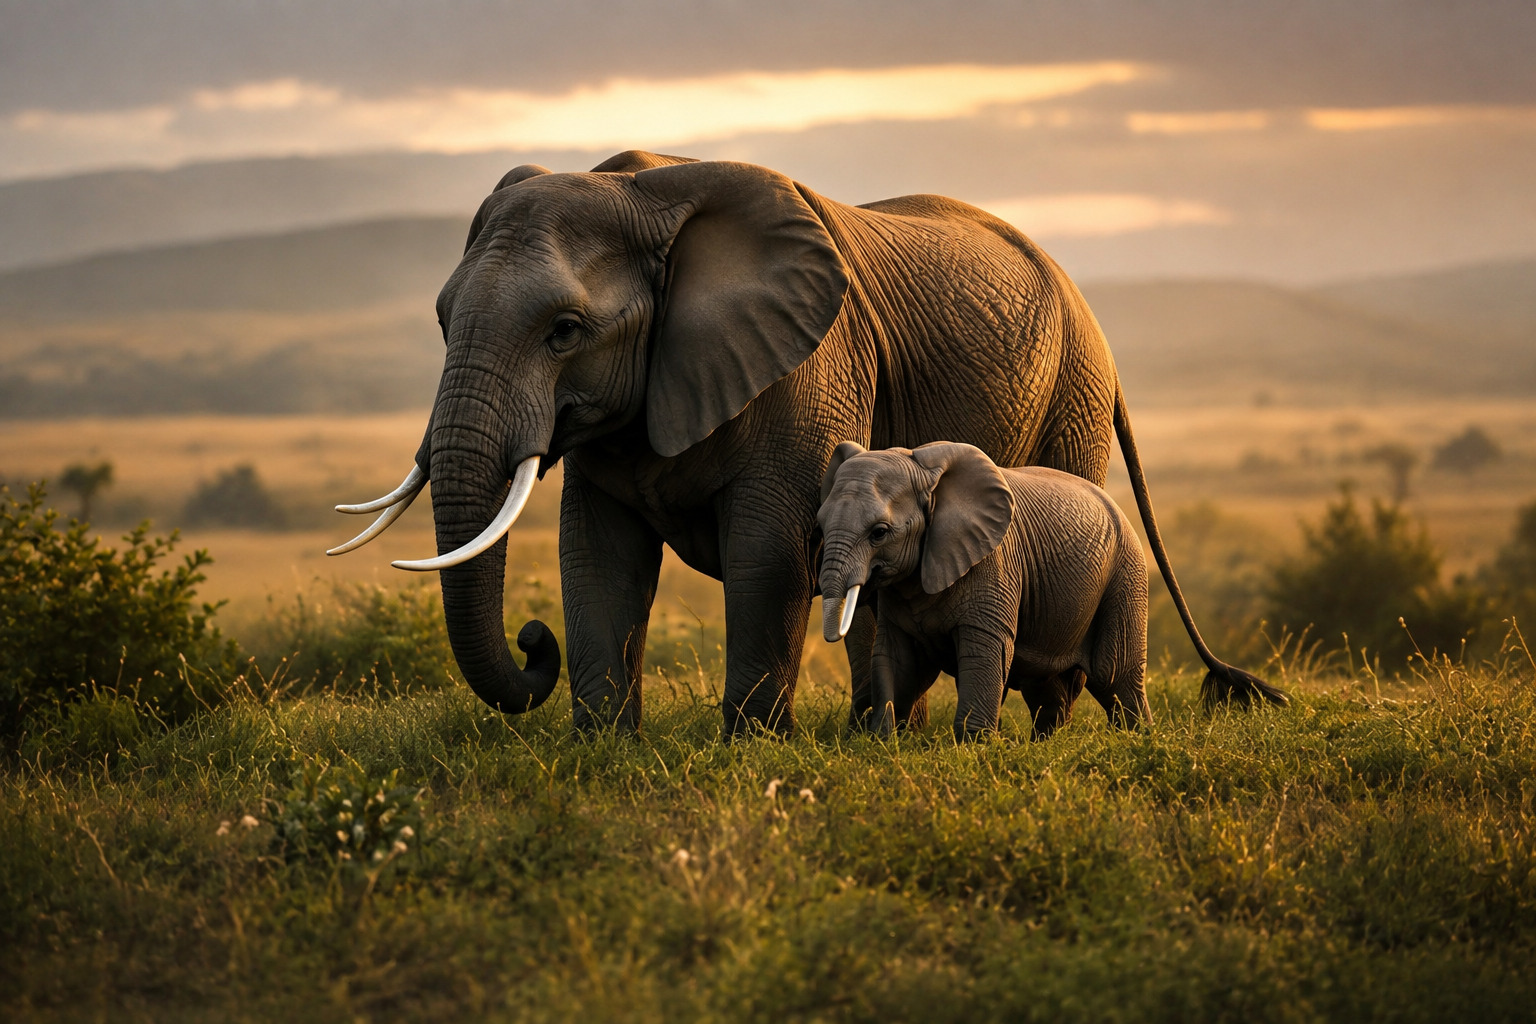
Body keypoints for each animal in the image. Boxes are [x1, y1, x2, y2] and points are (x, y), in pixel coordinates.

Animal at [817, 441, 1150, 741]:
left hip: (1125, 576)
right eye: (820, 524)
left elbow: (985, 648)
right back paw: (1046, 744)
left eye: (879, 533)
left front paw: (972, 745)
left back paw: (1137, 739)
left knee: (1114, 675)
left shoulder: (994, 563)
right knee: (1045, 687)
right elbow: (897, 657)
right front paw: (879, 741)